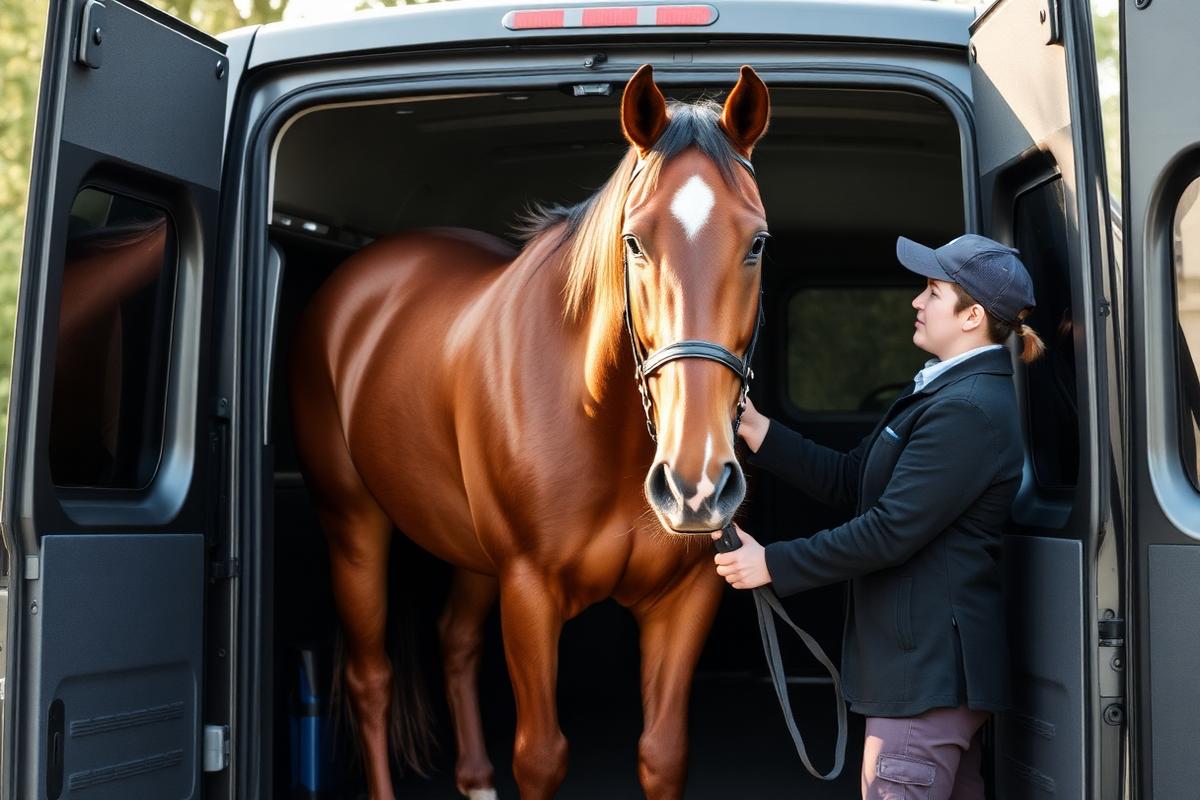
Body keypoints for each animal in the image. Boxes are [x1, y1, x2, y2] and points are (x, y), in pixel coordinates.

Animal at [288, 64, 771, 799]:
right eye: (635, 241)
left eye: (758, 242)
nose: (695, 486)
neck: (600, 421)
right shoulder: (529, 593)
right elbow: (540, 757)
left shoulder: (685, 599)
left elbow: (662, 754)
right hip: (353, 524)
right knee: (370, 679)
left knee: (455, 642)